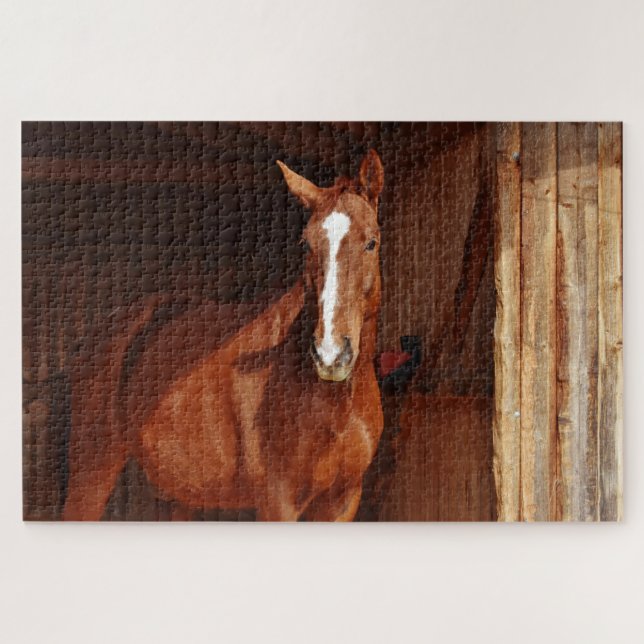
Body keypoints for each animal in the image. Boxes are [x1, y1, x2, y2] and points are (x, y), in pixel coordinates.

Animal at [62, 149, 385, 521]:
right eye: (306, 244)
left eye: (371, 242)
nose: (330, 355)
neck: (334, 402)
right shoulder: (278, 502)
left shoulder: (343, 499)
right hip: (92, 474)